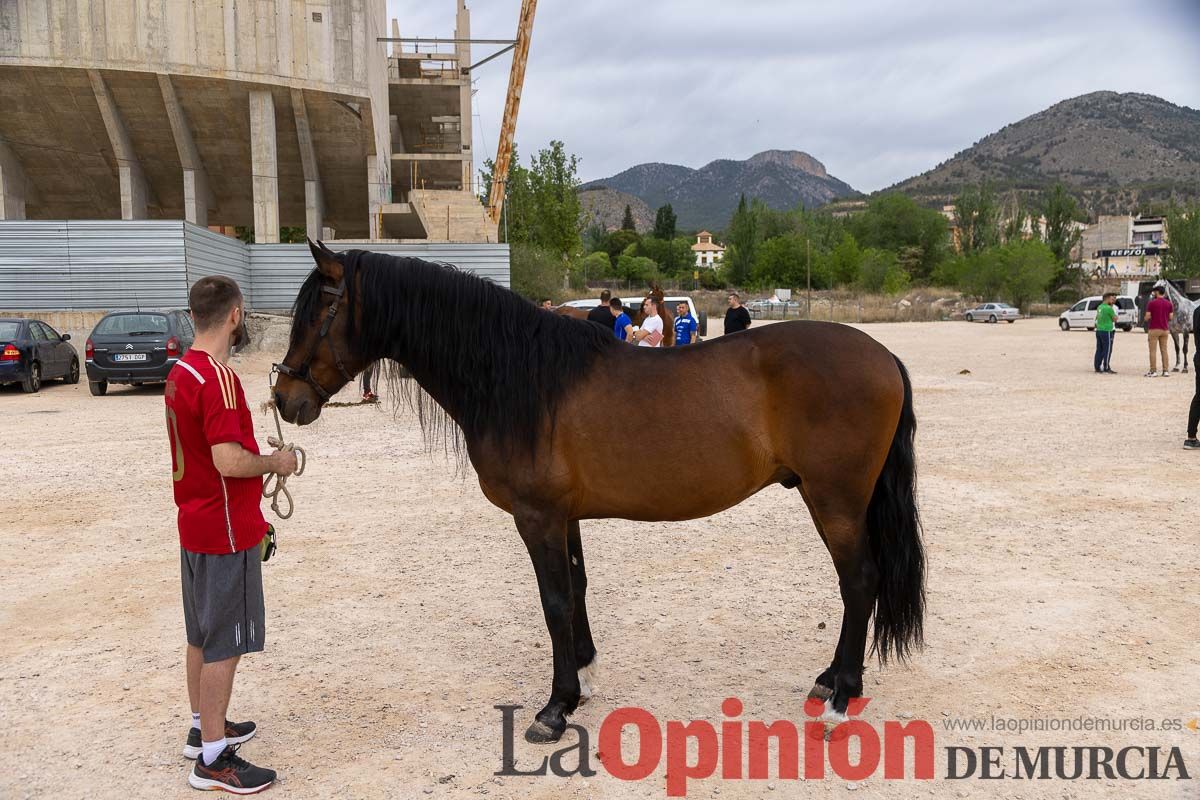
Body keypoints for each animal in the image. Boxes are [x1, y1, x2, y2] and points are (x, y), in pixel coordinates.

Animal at [274, 244, 926, 743]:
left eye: (319, 311)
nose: (285, 400)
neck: (523, 378)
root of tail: (883, 354)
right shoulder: (566, 517)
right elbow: (578, 588)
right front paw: (583, 678)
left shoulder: (536, 518)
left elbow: (554, 602)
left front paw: (555, 708)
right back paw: (830, 680)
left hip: (835, 500)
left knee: (859, 581)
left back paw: (841, 699)